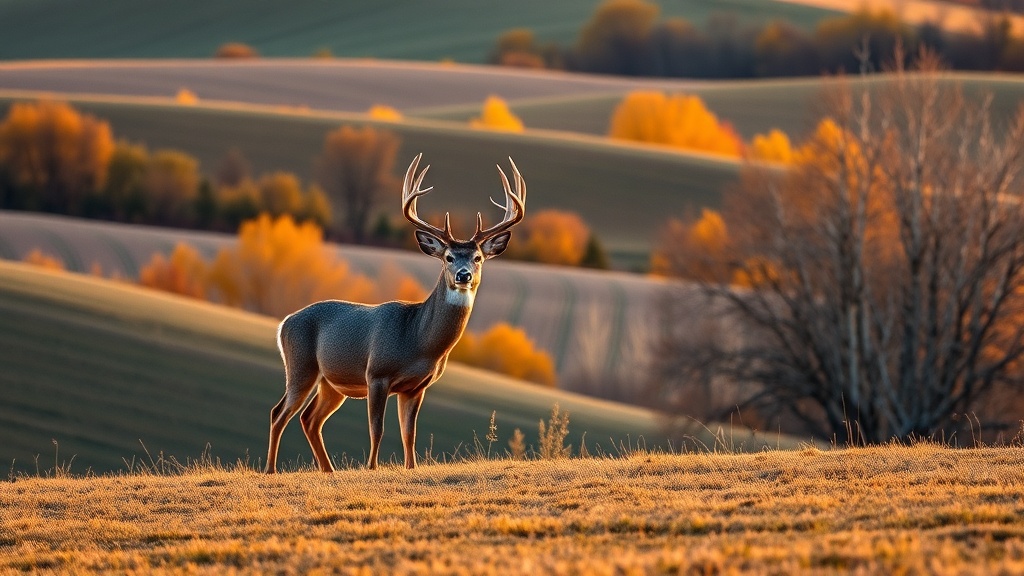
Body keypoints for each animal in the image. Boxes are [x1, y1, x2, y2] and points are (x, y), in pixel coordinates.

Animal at [265, 153, 526, 473]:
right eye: (448, 257)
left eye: (477, 257)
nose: (463, 275)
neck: (417, 340)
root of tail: (284, 323)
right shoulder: (376, 373)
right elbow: (377, 428)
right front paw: (371, 468)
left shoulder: (416, 387)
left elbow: (409, 433)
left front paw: (410, 468)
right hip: (301, 366)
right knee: (279, 412)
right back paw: (270, 469)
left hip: (331, 383)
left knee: (309, 419)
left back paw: (328, 470)